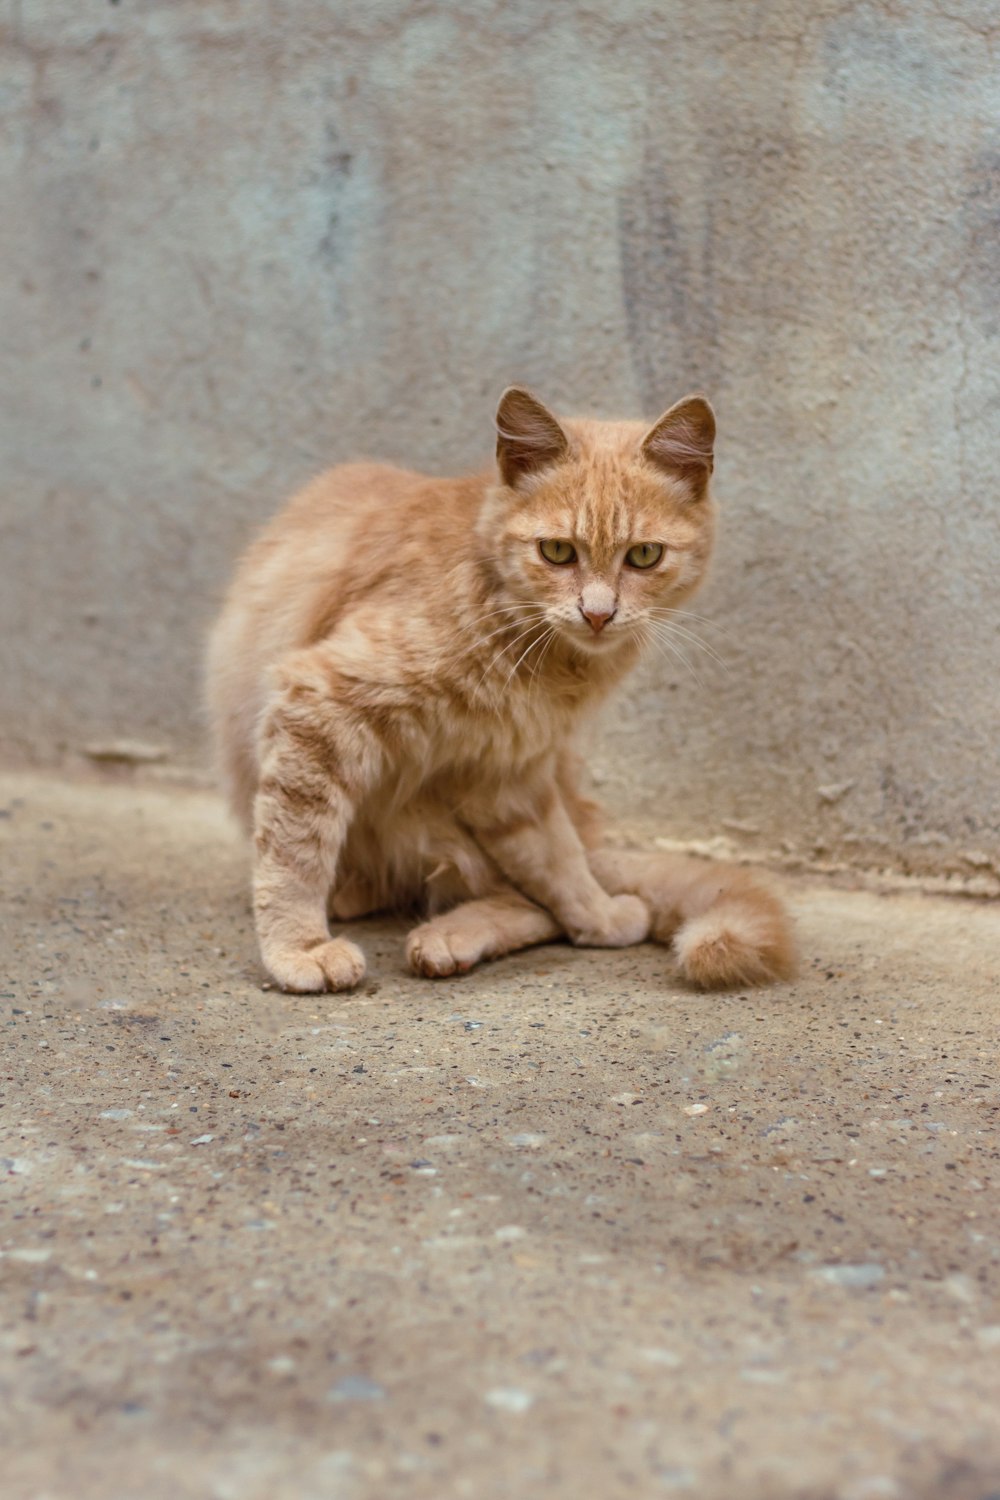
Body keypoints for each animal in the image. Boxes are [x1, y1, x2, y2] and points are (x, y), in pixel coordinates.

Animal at [205, 393, 797, 990]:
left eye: (644, 556)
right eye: (556, 551)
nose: (598, 614)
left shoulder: (509, 770)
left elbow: (558, 862)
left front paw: (599, 917)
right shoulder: (322, 704)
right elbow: (296, 850)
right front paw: (298, 946)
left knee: (531, 896)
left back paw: (449, 937)